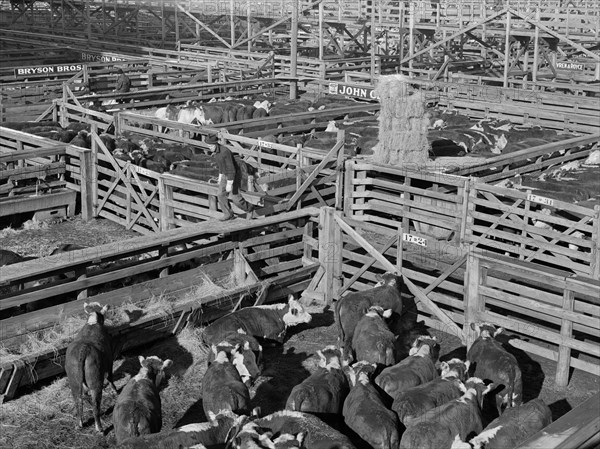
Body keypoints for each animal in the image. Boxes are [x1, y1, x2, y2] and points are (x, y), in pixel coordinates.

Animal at [64, 302, 118, 432]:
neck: (93, 323)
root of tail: (83, 349)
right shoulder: (109, 360)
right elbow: (110, 377)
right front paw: (115, 390)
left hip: (74, 380)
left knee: (78, 400)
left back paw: (79, 423)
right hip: (95, 380)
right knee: (95, 405)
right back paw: (99, 428)